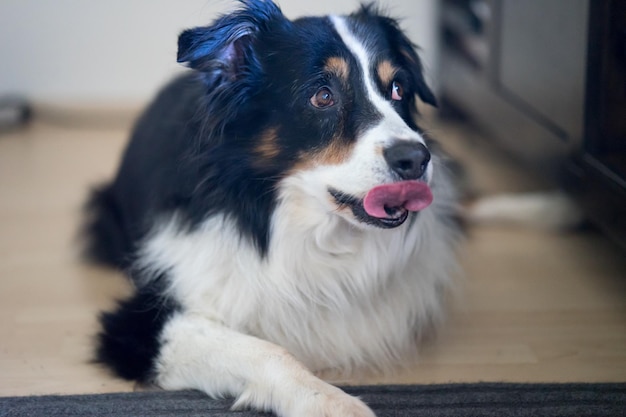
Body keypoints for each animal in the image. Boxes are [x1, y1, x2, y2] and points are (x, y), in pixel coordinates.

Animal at [83, 1, 460, 414]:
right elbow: (269, 351)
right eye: (322, 96)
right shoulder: (141, 324)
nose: (416, 159)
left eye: (398, 88)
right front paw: (332, 402)